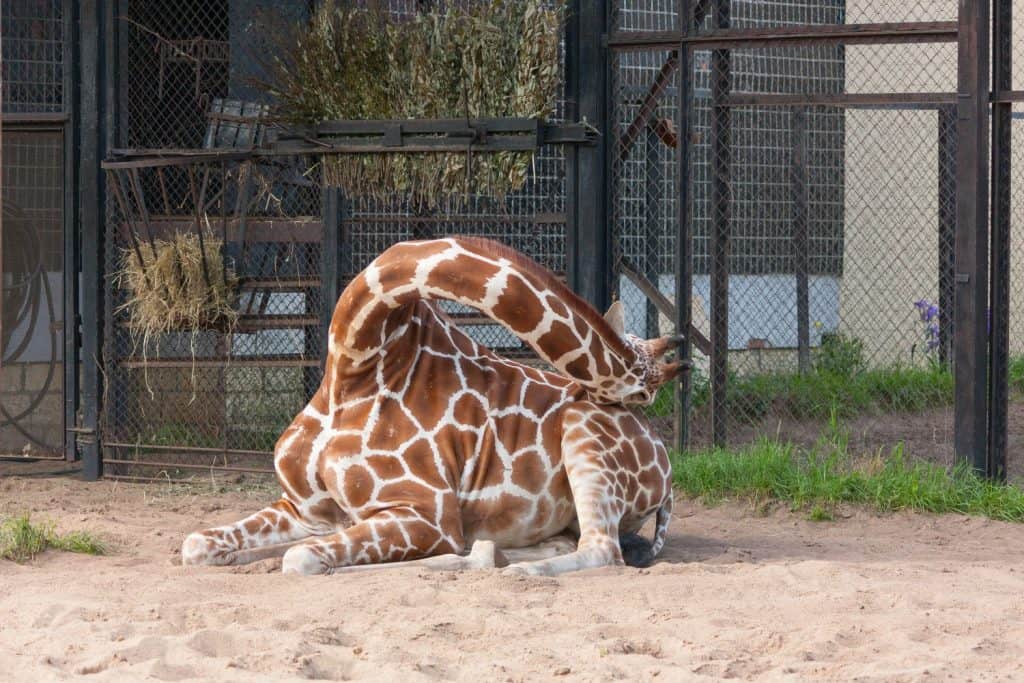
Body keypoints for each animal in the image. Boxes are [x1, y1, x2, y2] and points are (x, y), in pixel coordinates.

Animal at [182, 237, 683, 576]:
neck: (355, 363)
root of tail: (666, 473)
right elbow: (195, 543)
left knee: (603, 550)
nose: (633, 404)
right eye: (646, 390)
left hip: (584, 436)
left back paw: (514, 569)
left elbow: (301, 558)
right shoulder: (303, 509)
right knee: (544, 545)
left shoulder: (427, 513)